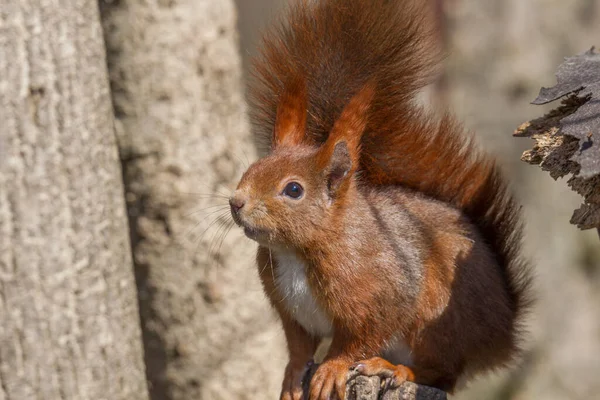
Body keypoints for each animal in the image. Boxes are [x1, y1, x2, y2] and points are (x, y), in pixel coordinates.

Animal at [229, 0, 528, 400]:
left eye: (293, 190)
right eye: (252, 168)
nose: (236, 202)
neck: (298, 251)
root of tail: (501, 334)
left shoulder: (381, 292)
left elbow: (358, 338)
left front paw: (332, 368)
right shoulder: (291, 312)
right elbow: (299, 347)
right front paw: (293, 375)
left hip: (437, 319)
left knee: (441, 372)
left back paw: (393, 368)